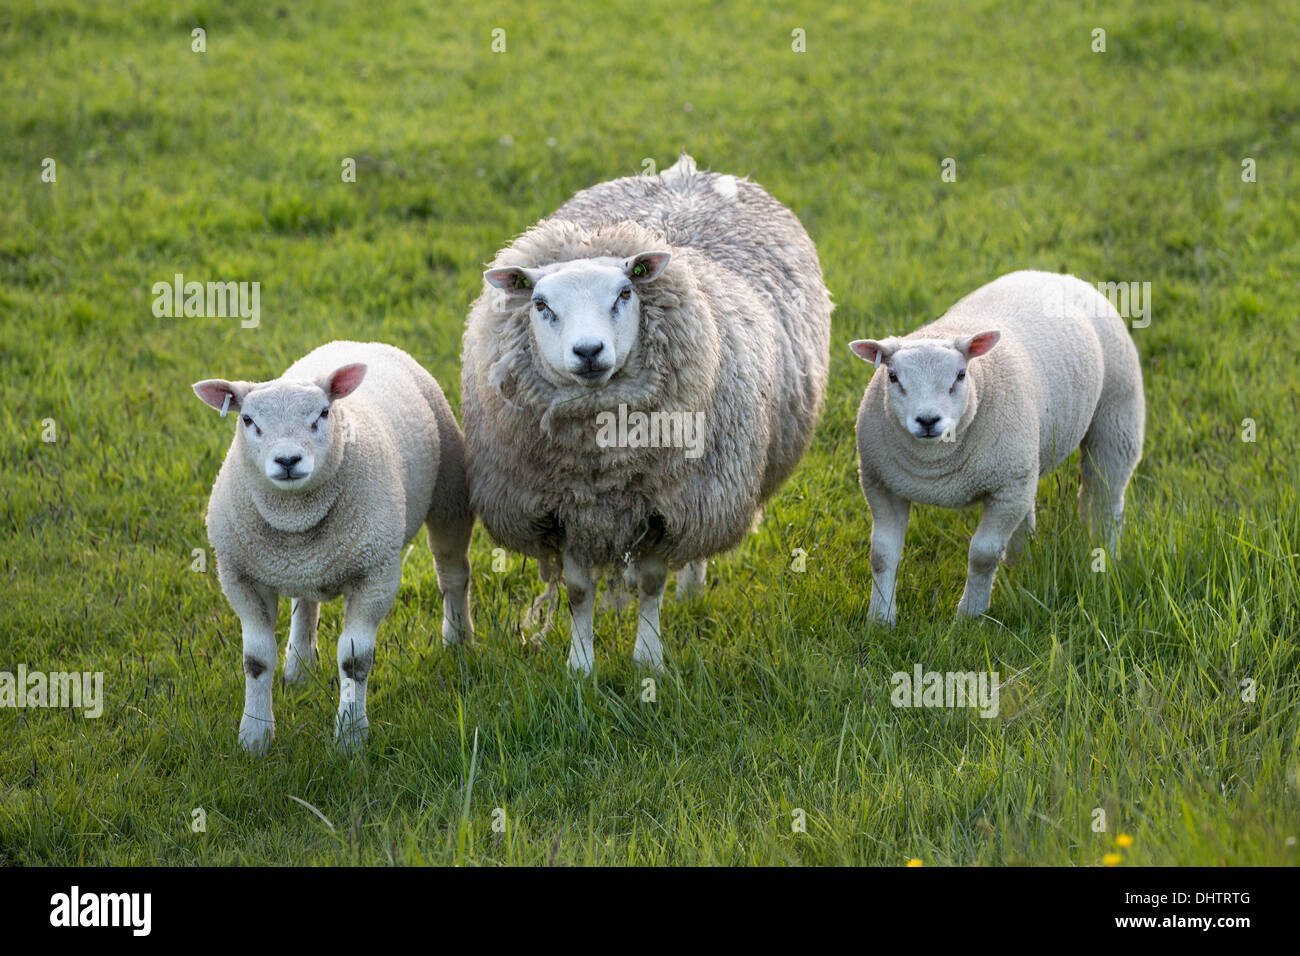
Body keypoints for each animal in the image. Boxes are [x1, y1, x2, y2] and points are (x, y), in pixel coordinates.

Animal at [189, 343, 475, 754]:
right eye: (247, 420)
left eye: (323, 414)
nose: (288, 460)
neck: (295, 516)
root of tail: (359, 343)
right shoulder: (240, 575)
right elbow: (255, 660)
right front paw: (254, 737)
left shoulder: (376, 574)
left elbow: (355, 660)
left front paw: (350, 738)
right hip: (304, 562)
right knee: (305, 603)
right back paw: (299, 667)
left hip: (449, 494)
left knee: (452, 575)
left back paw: (458, 639)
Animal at [465, 155, 832, 671]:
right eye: (540, 304)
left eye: (624, 293)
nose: (589, 351)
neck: (604, 463)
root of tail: (682, 172)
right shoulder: (564, 508)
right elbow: (578, 591)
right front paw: (580, 665)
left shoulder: (669, 506)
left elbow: (653, 583)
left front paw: (648, 658)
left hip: (707, 489)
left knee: (692, 552)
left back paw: (692, 590)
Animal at [847, 273, 1144, 624]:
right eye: (892, 377)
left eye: (961, 375)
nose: (928, 420)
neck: (934, 467)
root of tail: (1056, 275)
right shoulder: (880, 483)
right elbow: (881, 553)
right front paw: (880, 618)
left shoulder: (1006, 487)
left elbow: (983, 555)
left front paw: (970, 615)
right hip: (1025, 463)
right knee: (1030, 514)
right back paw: (1022, 566)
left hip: (1117, 413)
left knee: (1105, 499)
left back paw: (1104, 554)